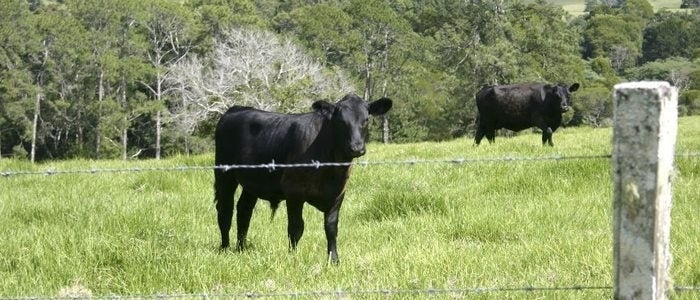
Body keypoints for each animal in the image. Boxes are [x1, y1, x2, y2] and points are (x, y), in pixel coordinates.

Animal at [212, 93, 394, 262]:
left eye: (366, 120)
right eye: (341, 121)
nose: (356, 148)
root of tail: (235, 109)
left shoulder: (338, 194)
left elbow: (331, 228)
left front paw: (334, 260)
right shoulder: (294, 192)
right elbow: (296, 227)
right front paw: (293, 257)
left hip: (252, 182)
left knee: (244, 210)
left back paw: (241, 248)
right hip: (224, 174)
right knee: (225, 211)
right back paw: (225, 248)